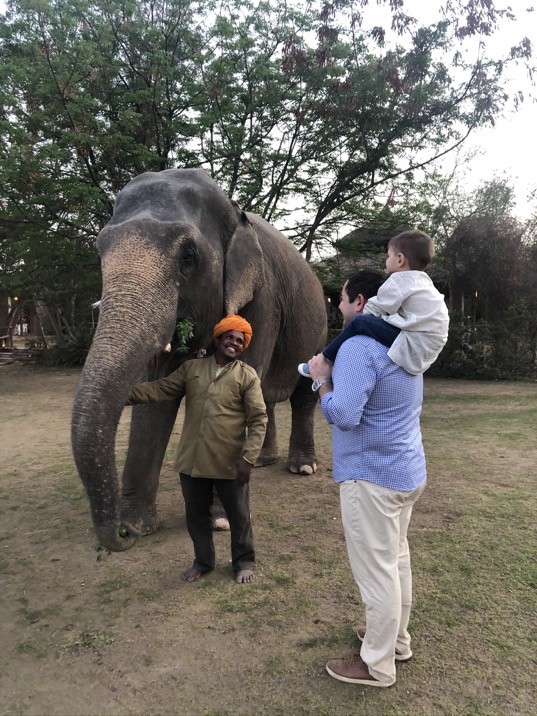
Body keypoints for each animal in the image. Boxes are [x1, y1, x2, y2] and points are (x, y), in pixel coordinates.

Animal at [71, 168, 326, 552]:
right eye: (100, 249)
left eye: (188, 257)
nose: (119, 539)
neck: (234, 212)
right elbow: (158, 396)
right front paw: (137, 525)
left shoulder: (263, 299)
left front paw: (220, 520)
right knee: (264, 397)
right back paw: (261, 462)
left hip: (318, 328)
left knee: (303, 394)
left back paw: (303, 468)